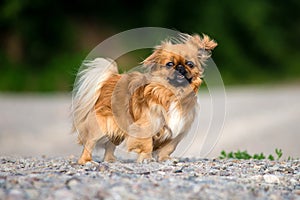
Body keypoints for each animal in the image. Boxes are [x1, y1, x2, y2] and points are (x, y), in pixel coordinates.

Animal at [71, 33, 217, 164]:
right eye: (170, 64)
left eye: (190, 64)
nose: (180, 67)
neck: (173, 93)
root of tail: (110, 79)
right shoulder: (147, 125)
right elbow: (146, 144)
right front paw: (146, 159)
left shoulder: (177, 131)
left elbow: (168, 148)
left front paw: (165, 159)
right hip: (101, 126)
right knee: (89, 143)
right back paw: (86, 161)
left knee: (110, 145)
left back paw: (110, 160)